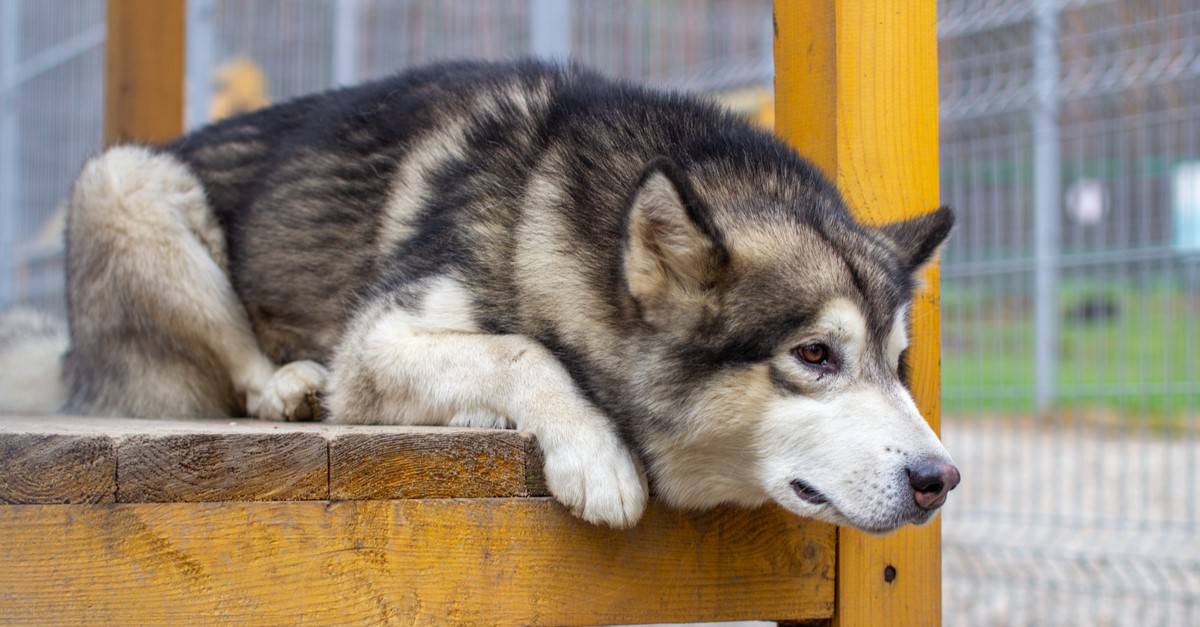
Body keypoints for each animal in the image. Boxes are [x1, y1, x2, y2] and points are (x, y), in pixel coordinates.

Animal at [0, 58, 960, 528]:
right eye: (815, 355)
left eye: (899, 365)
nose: (939, 479)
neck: (555, 212)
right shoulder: (379, 341)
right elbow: (522, 348)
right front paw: (596, 455)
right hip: (124, 184)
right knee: (237, 363)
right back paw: (286, 386)